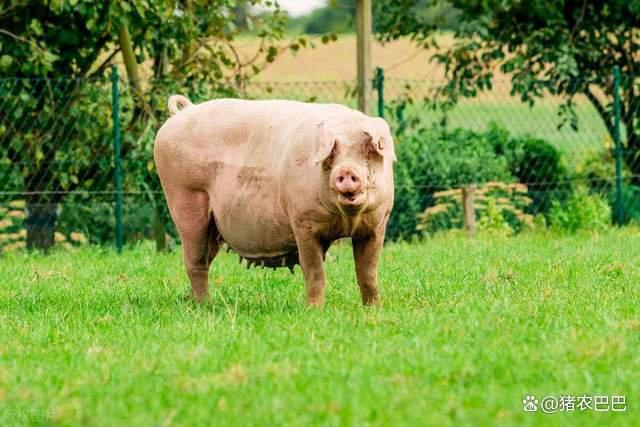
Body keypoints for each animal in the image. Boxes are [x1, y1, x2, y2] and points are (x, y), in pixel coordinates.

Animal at [155, 95, 396, 306]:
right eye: (332, 152)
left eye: (368, 150)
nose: (346, 171)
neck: (346, 219)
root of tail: (184, 111)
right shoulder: (303, 223)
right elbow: (314, 271)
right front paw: (314, 310)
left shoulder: (376, 225)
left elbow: (368, 273)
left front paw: (373, 309)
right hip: (185, 200)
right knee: (194, 261)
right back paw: (205, 305)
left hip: (214, 226)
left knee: (204, 258)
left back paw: (192, 301)